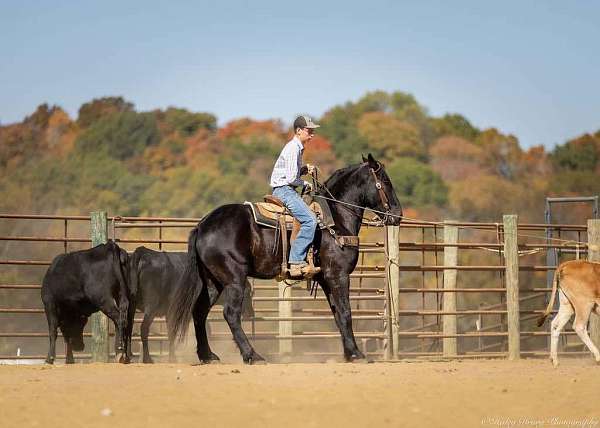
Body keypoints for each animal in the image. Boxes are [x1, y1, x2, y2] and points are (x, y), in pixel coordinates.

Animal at [169, 153, 404, 362]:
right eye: (385, 181)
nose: (398, 215)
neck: (335, 219)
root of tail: (203, 225)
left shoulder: (326, 278)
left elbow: (337, 314)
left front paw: (348, 353)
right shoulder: (339, 275)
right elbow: (346, 313)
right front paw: (356, 354)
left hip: (213, 281)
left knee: (199, 312)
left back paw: (207, 356)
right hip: (234, 279)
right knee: (231, 314)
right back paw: (252, 356)